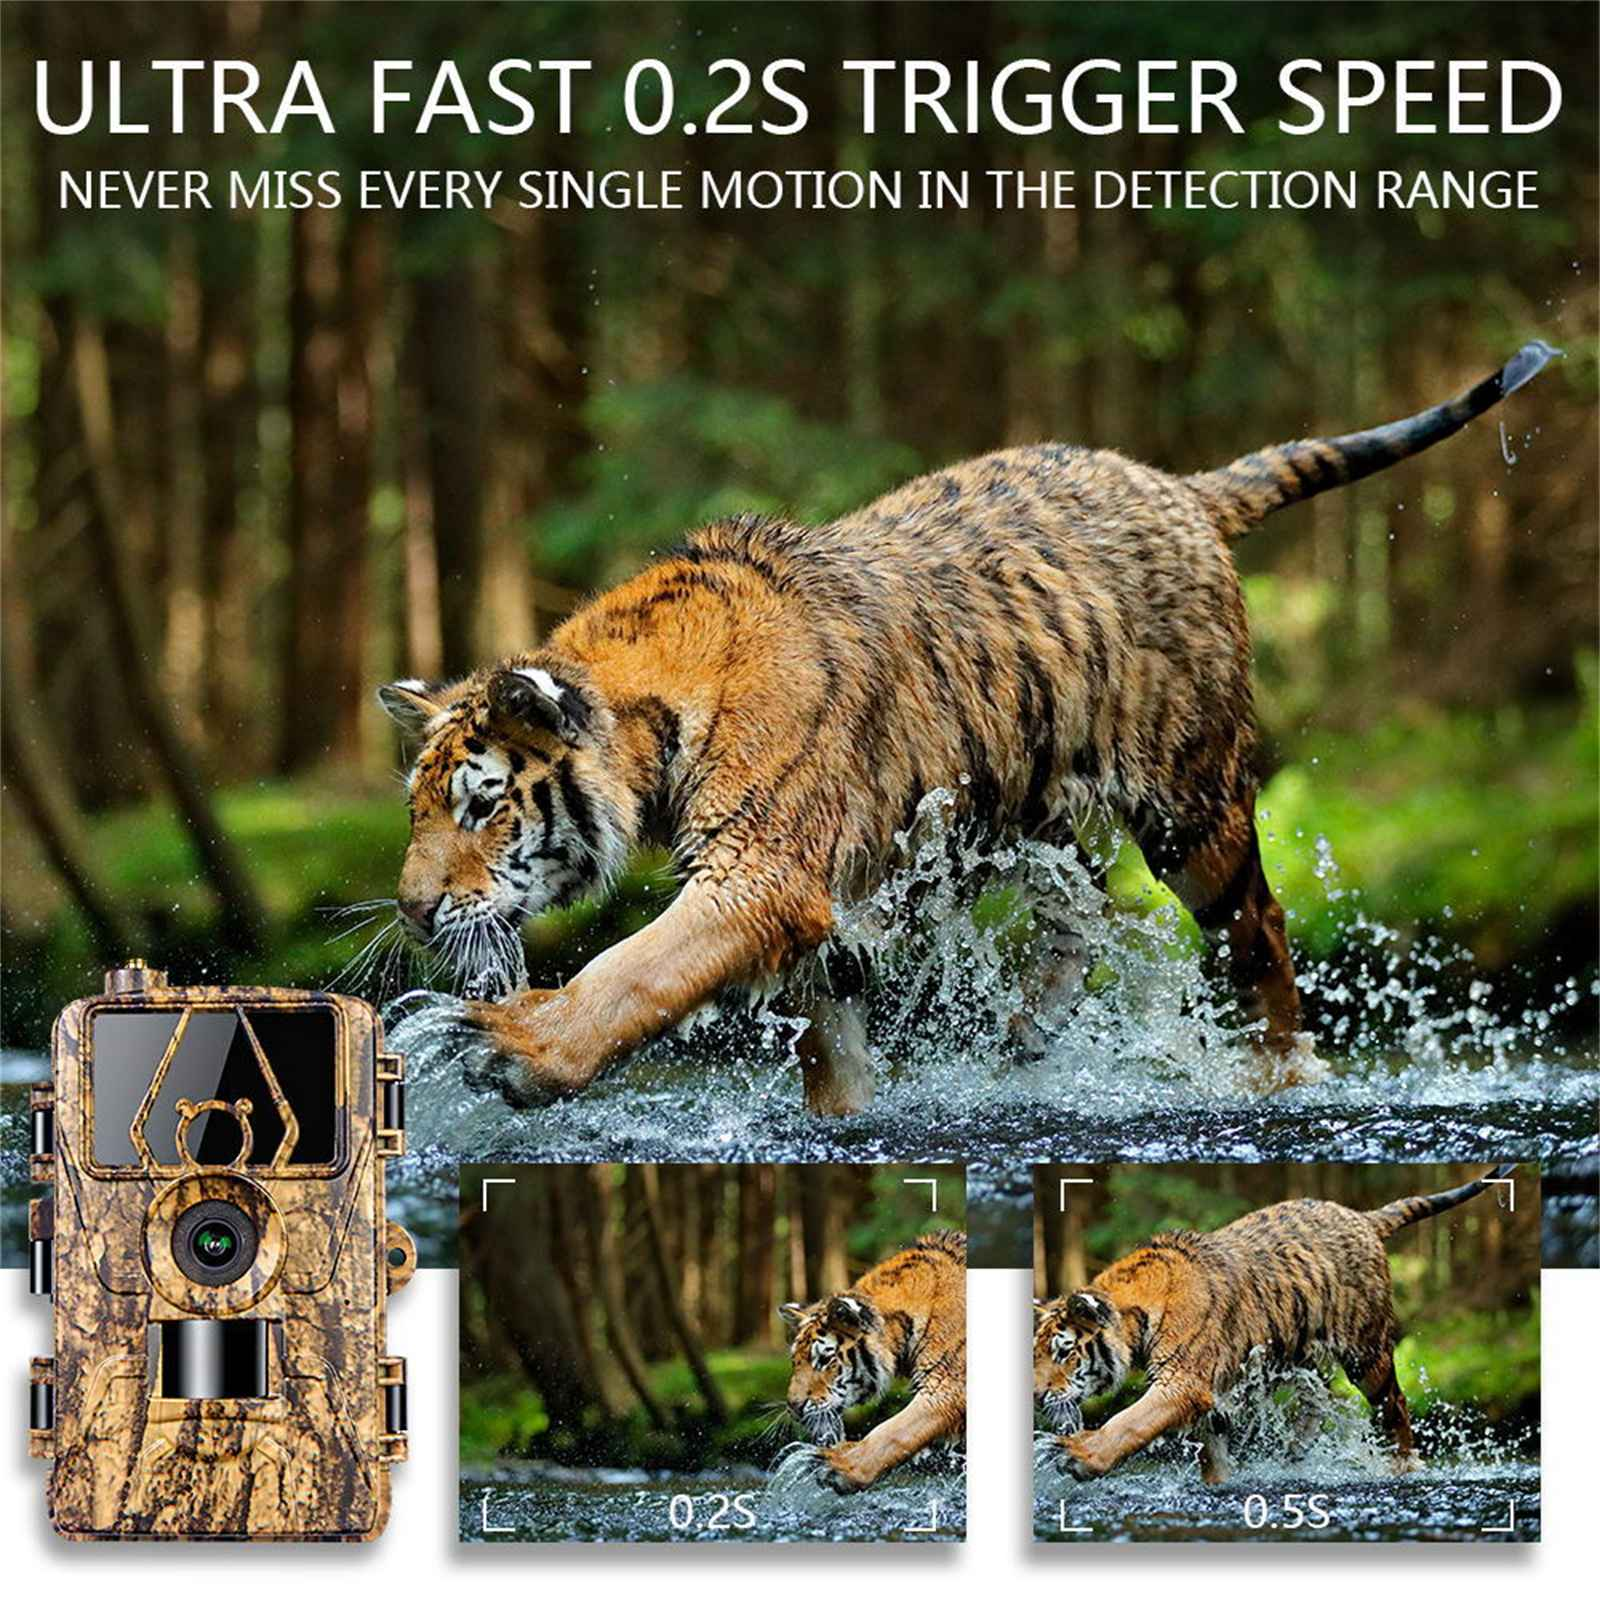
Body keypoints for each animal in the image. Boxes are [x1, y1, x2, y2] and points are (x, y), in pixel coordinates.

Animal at [378, 341, 1557, 1113]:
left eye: (484, 806)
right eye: (418, 811)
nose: (412, 909)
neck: (652, 725)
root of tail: (1178, 485)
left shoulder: (762, 873)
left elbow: (634, 970)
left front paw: (509, 1046)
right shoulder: (827, 906)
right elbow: (830, 1041)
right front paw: (845, 1118)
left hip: (1192, 803)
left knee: (1256, 929)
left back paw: (1279, 1080)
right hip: (1021, 800)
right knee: (1082, 904)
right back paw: (1035, 1026)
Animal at [779, 1228, 966, 1493]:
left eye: (825, 1360)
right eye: (795, 1361)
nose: (793, 1407)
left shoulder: (948, 1386)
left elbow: (894, 1431)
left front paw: (839, 1467)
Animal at [1032, 1164, 1518, 1485]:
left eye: (1064, 1350)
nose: (1035, 1396)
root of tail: (1362, 1217)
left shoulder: (1183, 1382)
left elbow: (1129, 1421)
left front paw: (1077, 1454)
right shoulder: (1213, 1396)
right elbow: (1212, 1450)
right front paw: (1219, 1485)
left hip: (1367, 1352)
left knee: (1393, 1403)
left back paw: (1403, 1467)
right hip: (1297, 1351)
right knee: (1320, 1396)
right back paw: (1298, 1450)